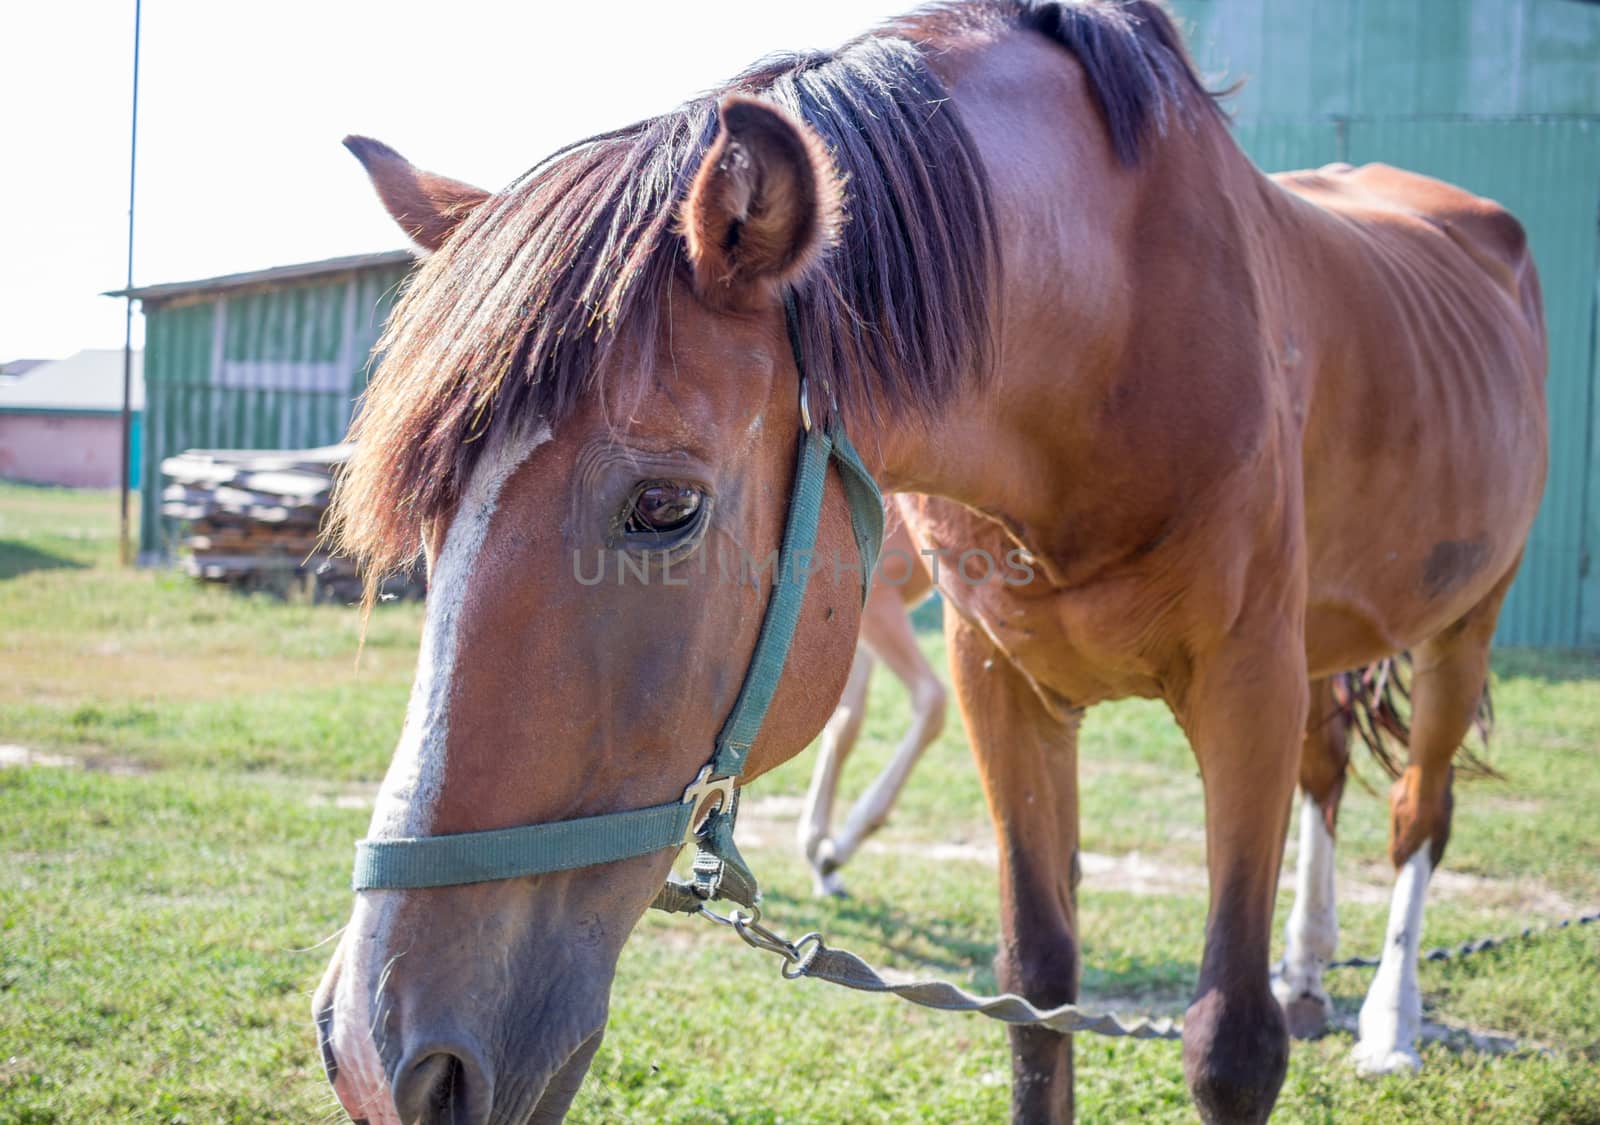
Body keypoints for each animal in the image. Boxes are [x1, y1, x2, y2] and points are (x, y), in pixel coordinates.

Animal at [305, 4, 1542, 1120]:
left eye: (662, 506)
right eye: (435, 524)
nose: (374, 1046)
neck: (1118, 339)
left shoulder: (1246, 688)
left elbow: (1228, 1043)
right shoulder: (1006, 689)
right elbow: (1036, 1002)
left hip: (1463, 626)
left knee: (1416, 812)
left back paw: (1388, 1021)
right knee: (1327, 778)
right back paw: (1310, 971)